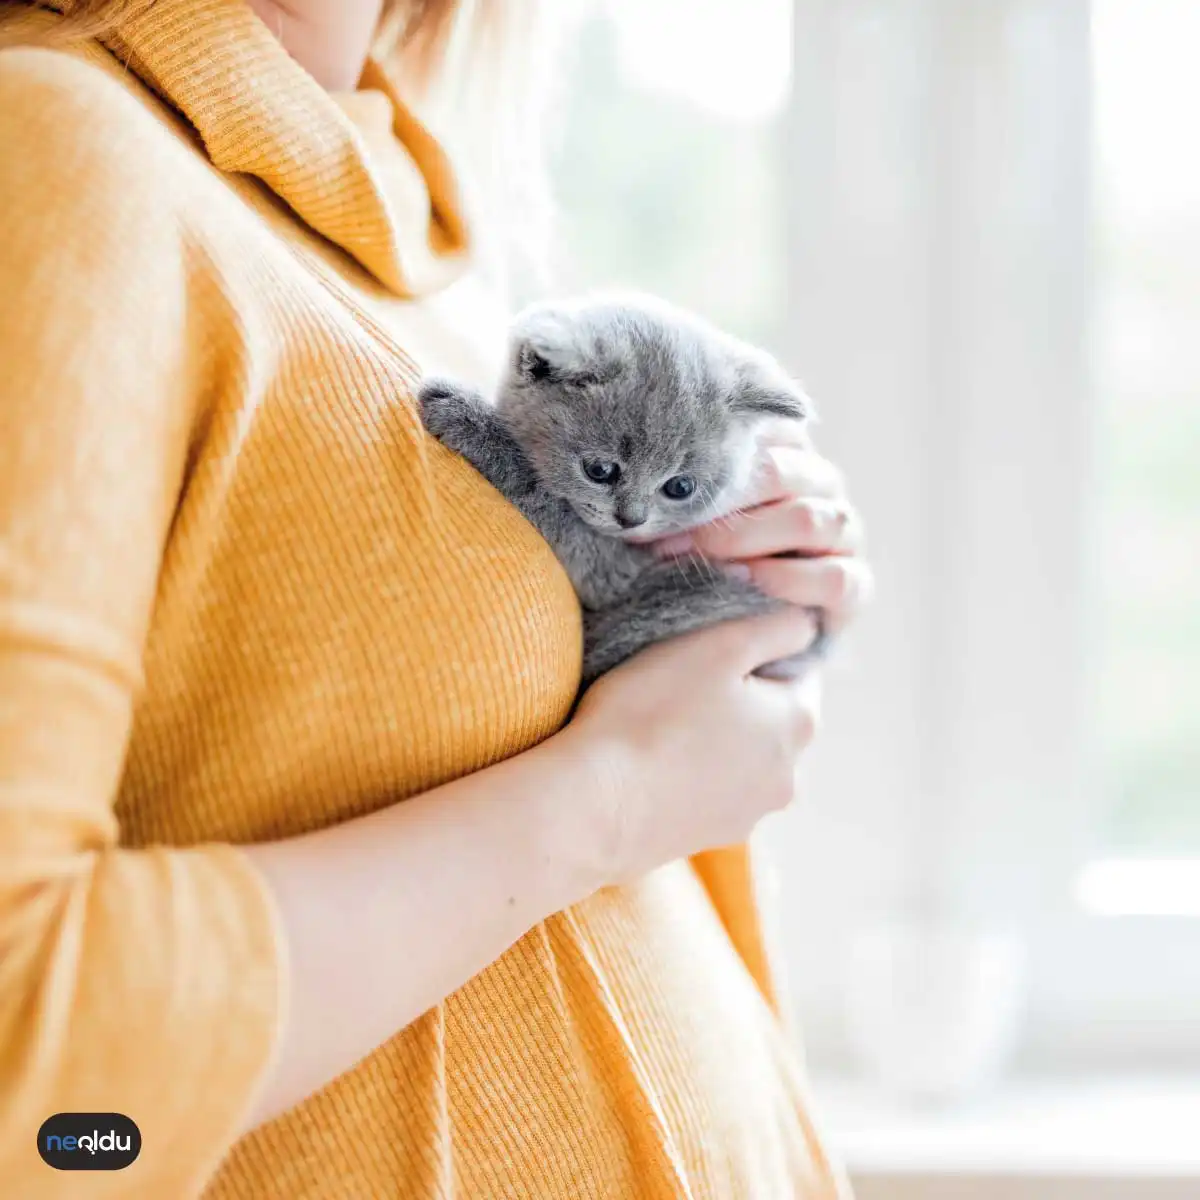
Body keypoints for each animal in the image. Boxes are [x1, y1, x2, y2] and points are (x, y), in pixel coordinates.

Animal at [420, 292, 825, 686]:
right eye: (600, 470)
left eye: (680, 487)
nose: (632, 519)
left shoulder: (619, 571)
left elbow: (546, 498)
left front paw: (465, 415)